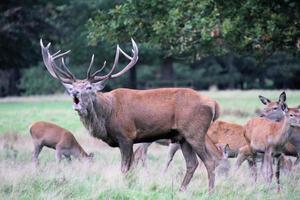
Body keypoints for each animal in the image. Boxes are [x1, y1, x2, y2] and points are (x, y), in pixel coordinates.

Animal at [39, 39, 221, 192]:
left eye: (89, 87)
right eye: (73, 87)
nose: (75, 93)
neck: (107, 115)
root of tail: (213, 104)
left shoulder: (126, 135)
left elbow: (125, 168)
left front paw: (125, 188)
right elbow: (131, 167)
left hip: (195, 132)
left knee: (210, 161)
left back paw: (210, 191)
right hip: (181, 137)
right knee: (192, 163)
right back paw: (180, 190)